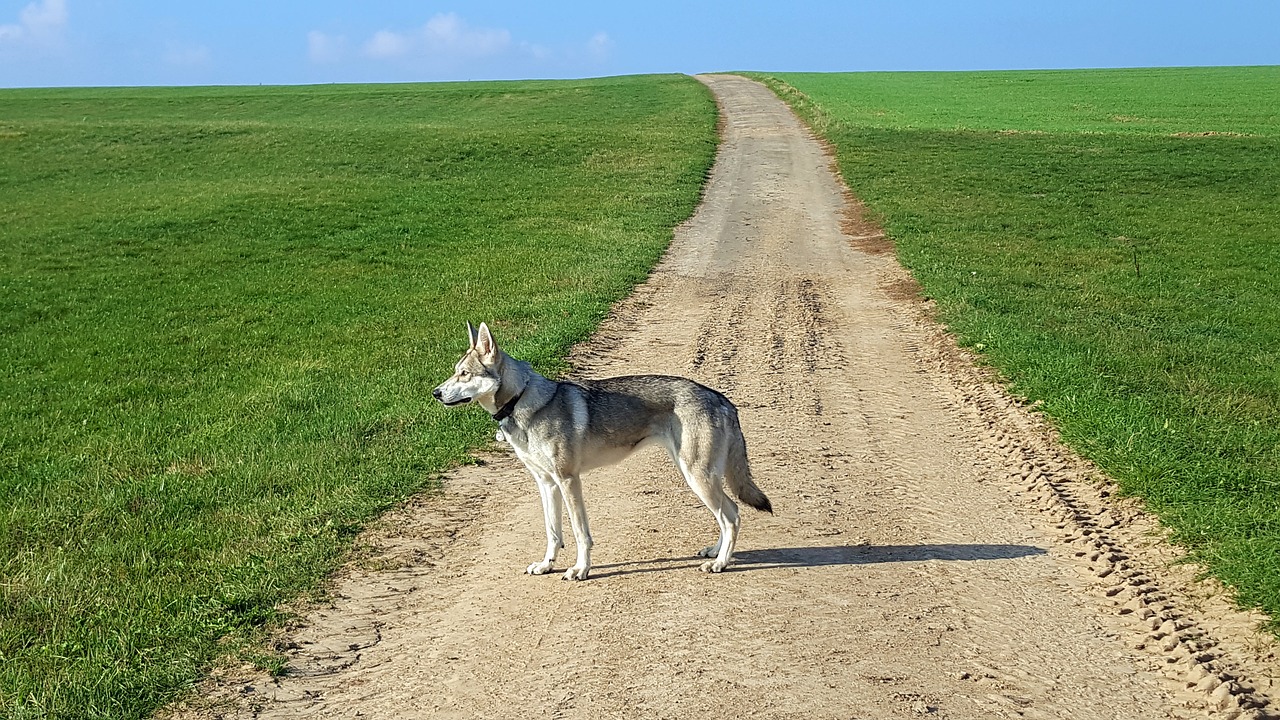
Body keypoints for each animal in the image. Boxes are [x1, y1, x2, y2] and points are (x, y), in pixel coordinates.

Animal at [432, 322, 768, 579]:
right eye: (455, 371)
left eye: (464, 374)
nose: (435, 393)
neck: (523, 400)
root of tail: (720, 397)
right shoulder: (546, 484)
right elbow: (553, 533)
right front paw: (546, 565)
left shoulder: (569, 480)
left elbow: (580, 533)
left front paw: (580, 570)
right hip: (699, 477)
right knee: (729, 513)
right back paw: (716, 552)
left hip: (698, 477)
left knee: (731, 516)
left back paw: (720, 563)